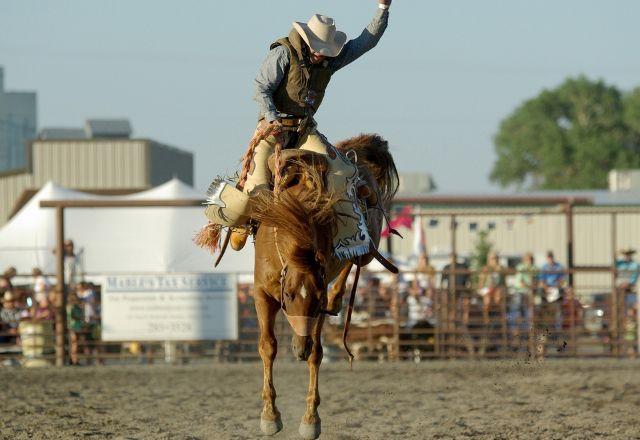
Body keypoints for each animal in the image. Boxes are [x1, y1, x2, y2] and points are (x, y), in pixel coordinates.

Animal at [249, 134, 396, 440]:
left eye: (315, 301)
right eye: (288, 294)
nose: (299, 348)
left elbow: (317, 353)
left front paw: (310, 420)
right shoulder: (261, 294)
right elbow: (268, 346)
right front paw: (270, 416)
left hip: (368, 246)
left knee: (356, 259)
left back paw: (337, 299)